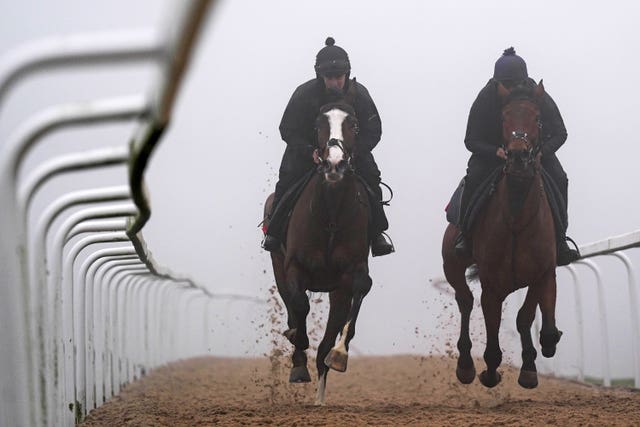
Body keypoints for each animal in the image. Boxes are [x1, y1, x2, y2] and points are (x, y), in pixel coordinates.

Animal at [262, 89, 372, 404]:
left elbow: (361, 289)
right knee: (293, 307)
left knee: (325, 341)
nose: (334, 164)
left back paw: (320, 397)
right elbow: (299, 306)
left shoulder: (352, 272)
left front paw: (340, 354)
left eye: (354, 125)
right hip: (278, 266)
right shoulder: (294, 267)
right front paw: (297, 349)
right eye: (317, 124)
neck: (331, 213)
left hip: (336, 290)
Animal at [442, 80, 564, 392]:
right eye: (503, 118)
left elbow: (528, 317)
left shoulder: (543, 271)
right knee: (464, 300)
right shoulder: (491, 281)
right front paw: (490, 370)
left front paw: (532, 364)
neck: (517, 218)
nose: (519, 155)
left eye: (537, 118)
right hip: (452, 264)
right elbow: (492, 325)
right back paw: (466, 366)